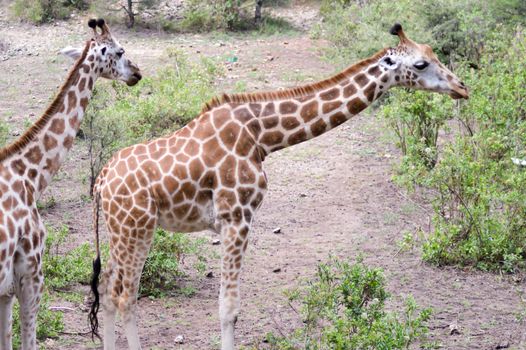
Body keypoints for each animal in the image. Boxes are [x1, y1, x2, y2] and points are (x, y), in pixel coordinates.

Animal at [0, 19, 142, 350]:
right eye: (120, 51)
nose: (137, 73)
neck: (30, 175)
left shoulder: (6, 286)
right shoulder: (31, 271)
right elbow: (28, 339)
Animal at [88, 23, 472, 348]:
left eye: (433, 53)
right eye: (421, 64)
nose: (462, 87)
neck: (261, 136)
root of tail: (101, 181)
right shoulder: (236, 217)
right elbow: (228, 309)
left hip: (119, 230)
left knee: (106, 290)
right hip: (137, 227)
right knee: (125, 296)